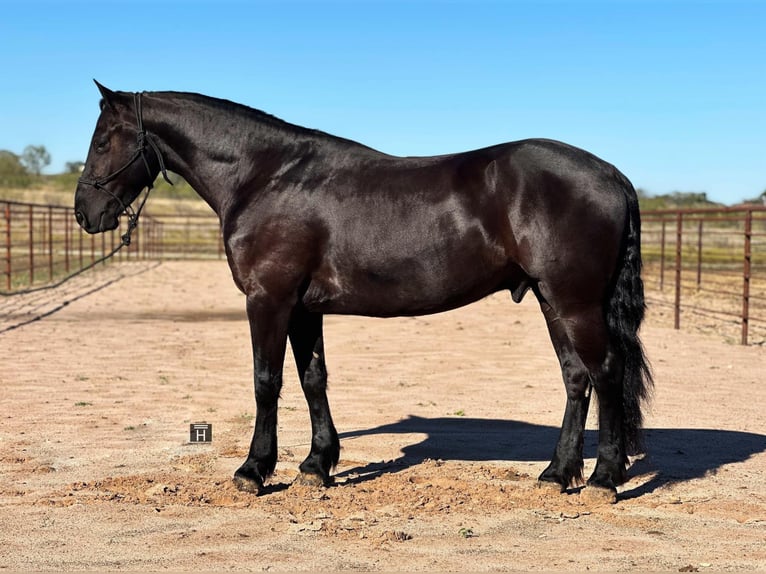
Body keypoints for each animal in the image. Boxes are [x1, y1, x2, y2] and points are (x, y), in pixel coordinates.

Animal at [74, 81, 652, 502]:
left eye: (102, 141)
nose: (85, 213)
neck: (266, 176)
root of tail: (611, 174)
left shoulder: (269, 299)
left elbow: (266, 381)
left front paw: (254, 470)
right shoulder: (303, 308)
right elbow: (312, 379)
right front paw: (316, 465)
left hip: (575, 302)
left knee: (605, 373)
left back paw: (603, 479)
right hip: (551, 299)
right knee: (576, 378)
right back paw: (557, 473)